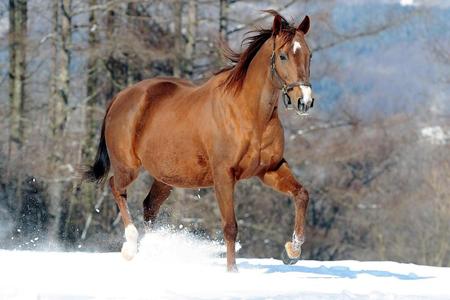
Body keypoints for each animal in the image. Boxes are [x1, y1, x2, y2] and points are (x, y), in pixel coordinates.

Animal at [83, 10, 312, 272]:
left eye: (309, 55)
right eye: (283, 56)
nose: (305, 101)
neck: (250, 116)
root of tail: (121, 96)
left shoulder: (270, 169)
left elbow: (301, 194)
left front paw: (291, 251)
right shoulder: (224, 175)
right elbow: (230, 227)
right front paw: (232, 271)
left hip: (166, 177)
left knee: (149, 206)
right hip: (127, 167)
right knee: (116, 187)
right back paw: (130, 246)